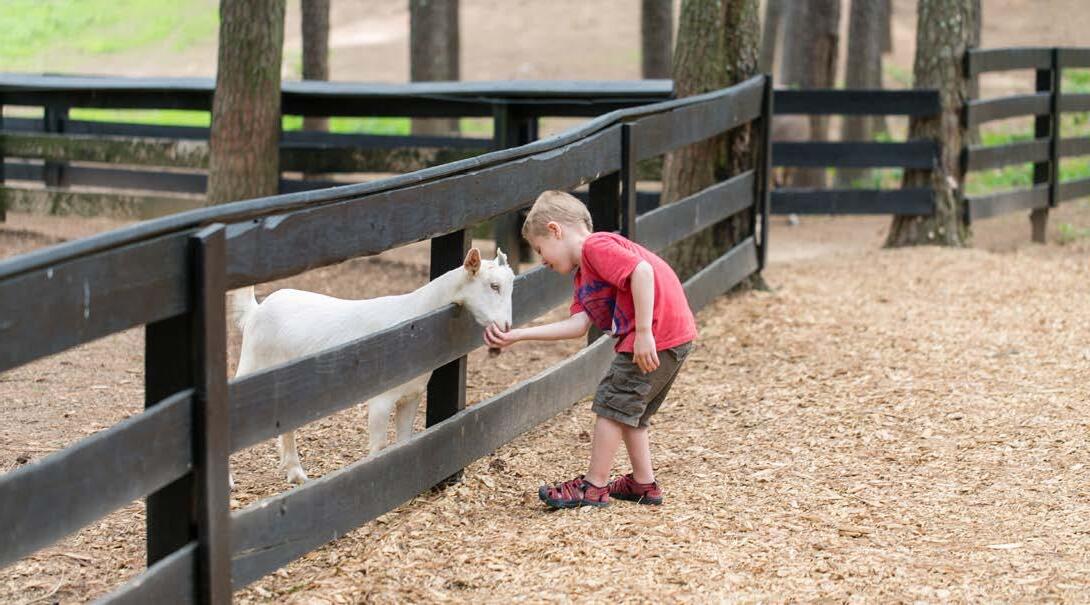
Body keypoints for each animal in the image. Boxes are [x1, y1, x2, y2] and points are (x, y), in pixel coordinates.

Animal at [230, 248, 514, 486]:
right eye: (494, 285)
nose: (506, 326)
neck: (415, 322)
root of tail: (257, 310)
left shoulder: (411, 395)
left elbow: (404, 442)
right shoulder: (381, 399)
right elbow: (379, 449)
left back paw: (296, 474)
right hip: (252, 363)